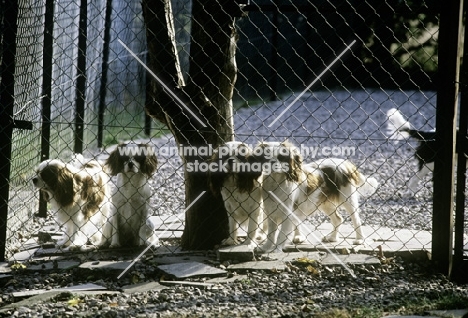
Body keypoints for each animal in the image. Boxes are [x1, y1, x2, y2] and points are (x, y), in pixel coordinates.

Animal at [250, 140, 378, 252]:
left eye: (281, 157)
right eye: (266, 156)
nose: (272, 162)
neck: (276, 181)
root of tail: (347, 164)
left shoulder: (287, 214)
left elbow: (282, 234)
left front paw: (276, 249)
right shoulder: (271, 212)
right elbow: (271, 234)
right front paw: (265, 247)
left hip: (348, 200)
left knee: (356, 220)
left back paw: (359, 240)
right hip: (326, 205)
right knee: (338, 219)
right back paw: (332, 238)